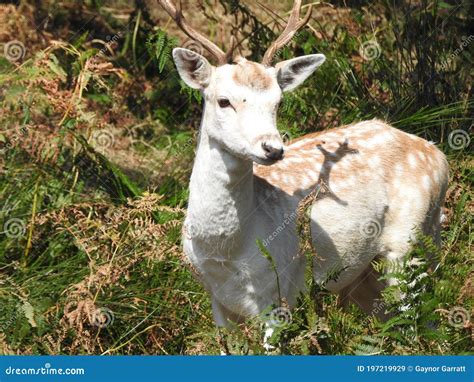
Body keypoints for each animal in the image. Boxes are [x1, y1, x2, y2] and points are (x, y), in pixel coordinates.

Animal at [157, 0, 450, 328]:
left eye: (278, 102)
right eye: (223, 100)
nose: (272, 148)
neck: (225, 252)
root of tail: (439, 157)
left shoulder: (279, 291)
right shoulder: (216, 300)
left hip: (411, 245)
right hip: (365, 276)